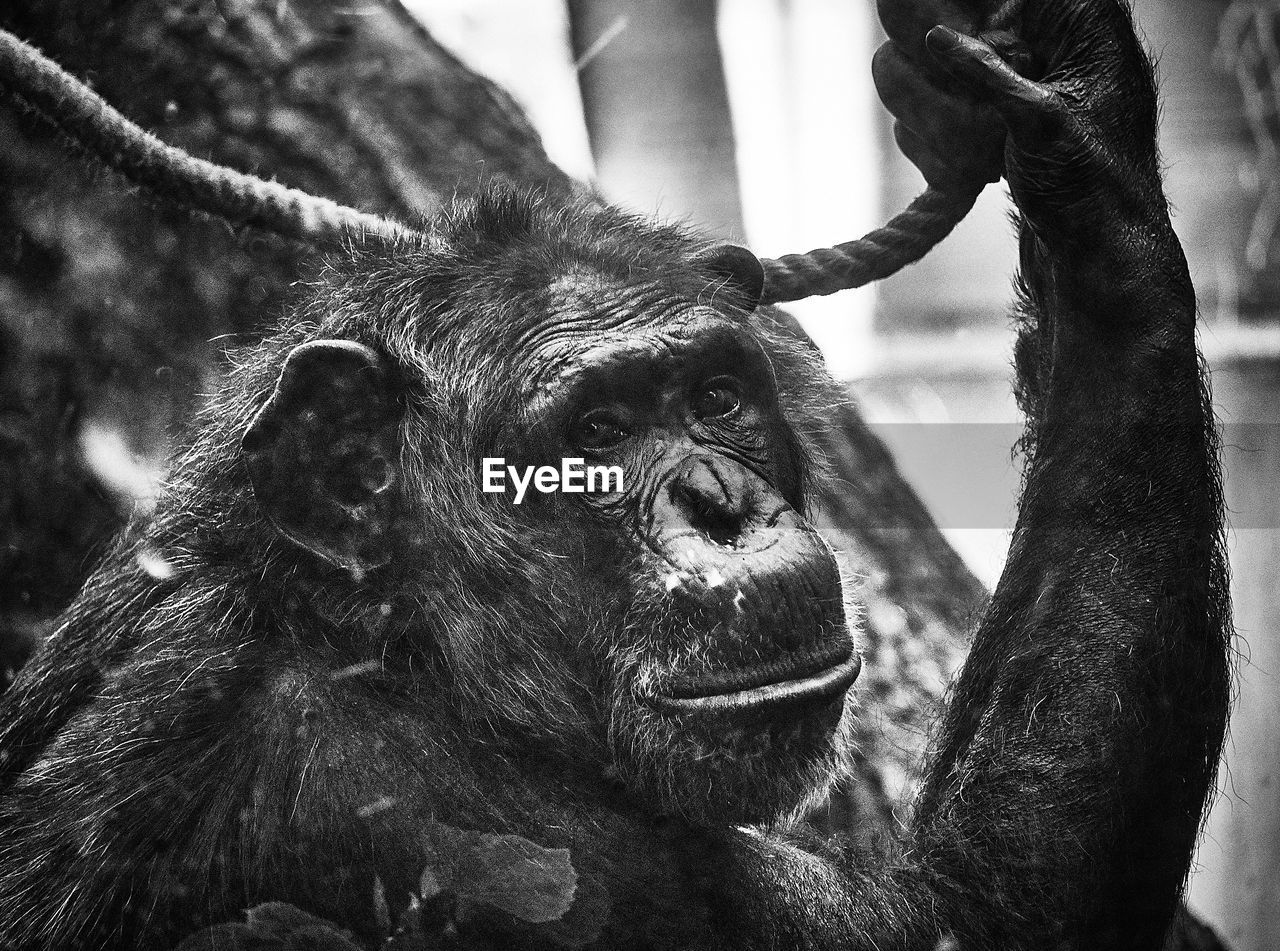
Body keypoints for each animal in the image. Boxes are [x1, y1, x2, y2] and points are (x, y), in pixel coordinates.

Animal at [0, 0, 1230, 948]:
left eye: (714, 398)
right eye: (592, 432)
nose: (720, 504)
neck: (385, 636)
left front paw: (1064, 84)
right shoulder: (458, 816)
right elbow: (963, 920)